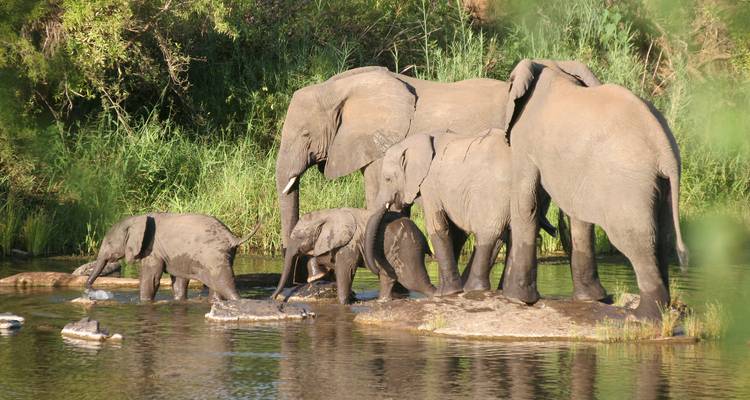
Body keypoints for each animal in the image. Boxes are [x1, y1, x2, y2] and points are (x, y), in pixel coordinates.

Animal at [86, 213, 258, 302]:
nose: (89, 290)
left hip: (214, 255)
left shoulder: (153, 250)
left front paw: (144, 301)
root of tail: (232, 237)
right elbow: (178, 280)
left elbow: (151, 279)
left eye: (109, 243)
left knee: (224, 283)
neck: (138, 219)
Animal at [272, 208, 435, 304]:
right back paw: (383, 300)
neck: (326, 214)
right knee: (387, 276)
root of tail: (422, 235)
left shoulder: (349, 244)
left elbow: (345, 270)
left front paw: (343, 303)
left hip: (407, 248)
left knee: (412, 279)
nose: (273, 298)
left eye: (299, 237)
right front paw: (317, 276)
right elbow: (326, 259)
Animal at [364, 129, 556, 296]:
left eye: (387, 179)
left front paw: (446, 293)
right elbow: (455, 231)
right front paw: (449, 290)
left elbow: (437, 226)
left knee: (489, 233)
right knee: (512, 233)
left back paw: (475, 289)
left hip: (494, 190)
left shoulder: (430, 185)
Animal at [499, 59, 688, 320]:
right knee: (663, 236)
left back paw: (644, 315)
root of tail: (665, 147)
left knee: (635, 239)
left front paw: (514, 299)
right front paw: (592, 299)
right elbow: (578, 215)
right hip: (661, 184)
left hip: (627, 184)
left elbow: (527, 203)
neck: (552, 65)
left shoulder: (525, 139)